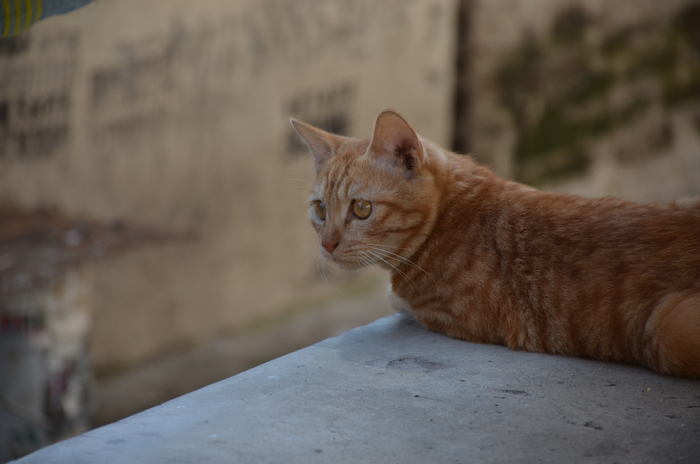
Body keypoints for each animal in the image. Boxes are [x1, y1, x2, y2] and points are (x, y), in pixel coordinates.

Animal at [288, 111, 700, 376]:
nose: (327, 244)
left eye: (361, 208)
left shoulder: (451, 315)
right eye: (321, 209)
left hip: (665, 326)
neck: (450, 215)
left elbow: (401, 301)